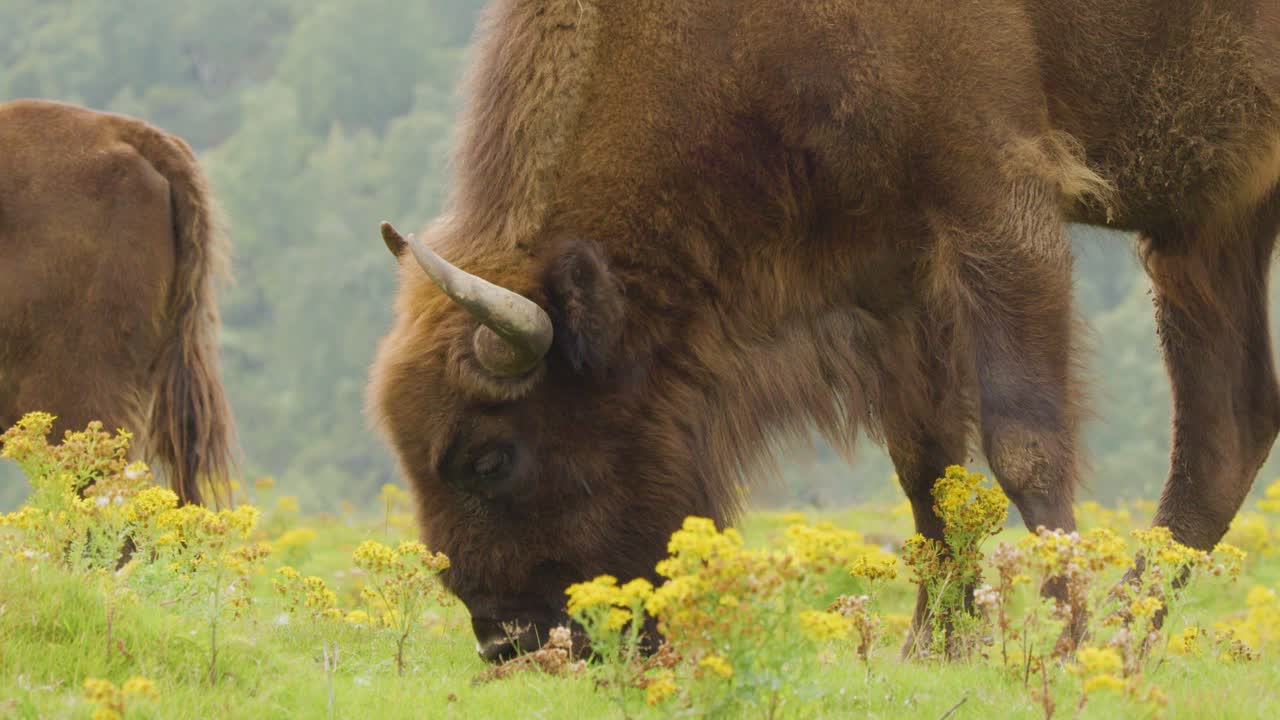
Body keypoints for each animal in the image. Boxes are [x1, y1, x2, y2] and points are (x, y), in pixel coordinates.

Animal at [369, 1, 1280, 661]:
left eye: (491, 458)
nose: (507, 642)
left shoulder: (997, 201)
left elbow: (1022, 444)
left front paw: (1058, 643)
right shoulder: (898, 267)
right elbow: (926, 465)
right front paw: (931, 648)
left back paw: (1110, 638)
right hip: (1212, 225)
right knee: (1227, 432)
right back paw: (1129, 636)